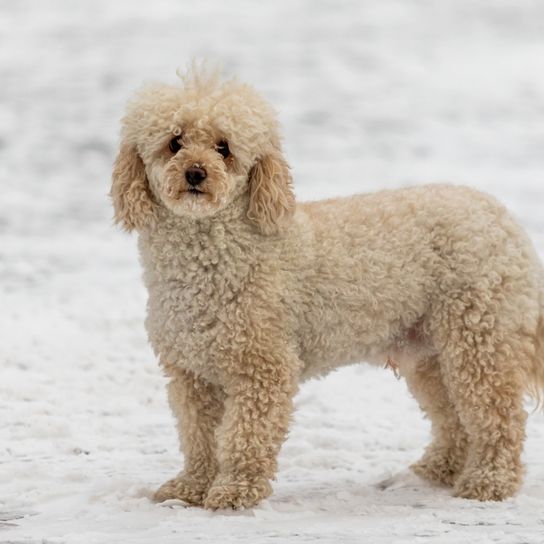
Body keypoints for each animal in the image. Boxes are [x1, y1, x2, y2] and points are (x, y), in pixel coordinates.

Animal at [110, 67, 544, 510]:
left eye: (224, 147)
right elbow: (198, 436)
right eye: (174, 142)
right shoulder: (191, 373)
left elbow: (246, 436)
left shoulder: (263, 367)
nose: (196, 173)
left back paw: (490, 480)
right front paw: (191, 486)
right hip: (429, 351)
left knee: (499, 415)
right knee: (452, 416)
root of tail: (503, 216)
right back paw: (438, 469)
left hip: (478, 337)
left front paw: (235, 490)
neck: (213, 256)